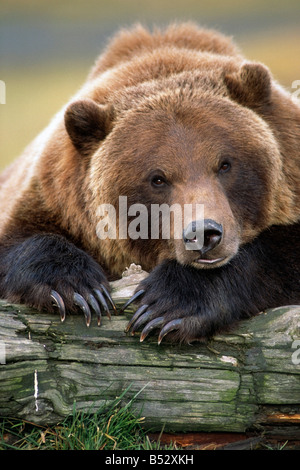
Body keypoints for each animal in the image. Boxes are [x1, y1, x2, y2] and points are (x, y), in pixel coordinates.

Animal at [0, 23, 300, 342]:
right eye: (158, 178)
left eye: (225, 164)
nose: (203, 233)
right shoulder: (53, 198)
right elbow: (23, 243)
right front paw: (80, 289)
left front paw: (167, 305)